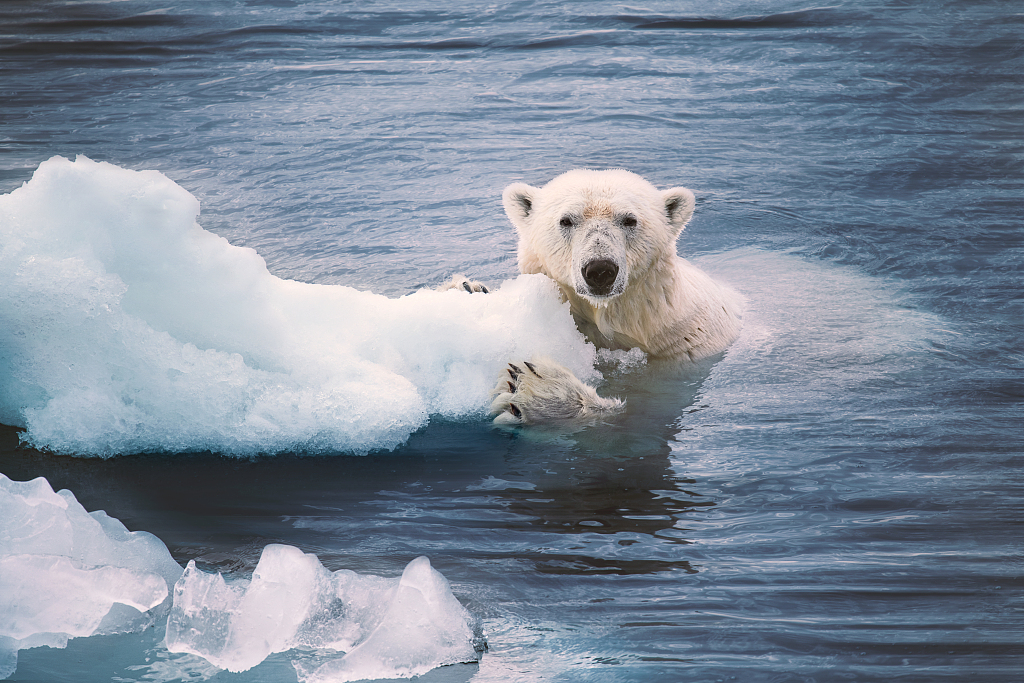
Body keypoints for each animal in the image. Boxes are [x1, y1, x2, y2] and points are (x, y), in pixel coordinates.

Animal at [444, 171, 741, 423]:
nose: (600, 270)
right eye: (566, 220)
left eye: (630, 219)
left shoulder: (683, 351)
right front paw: (465, 289)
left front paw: (533, 388)